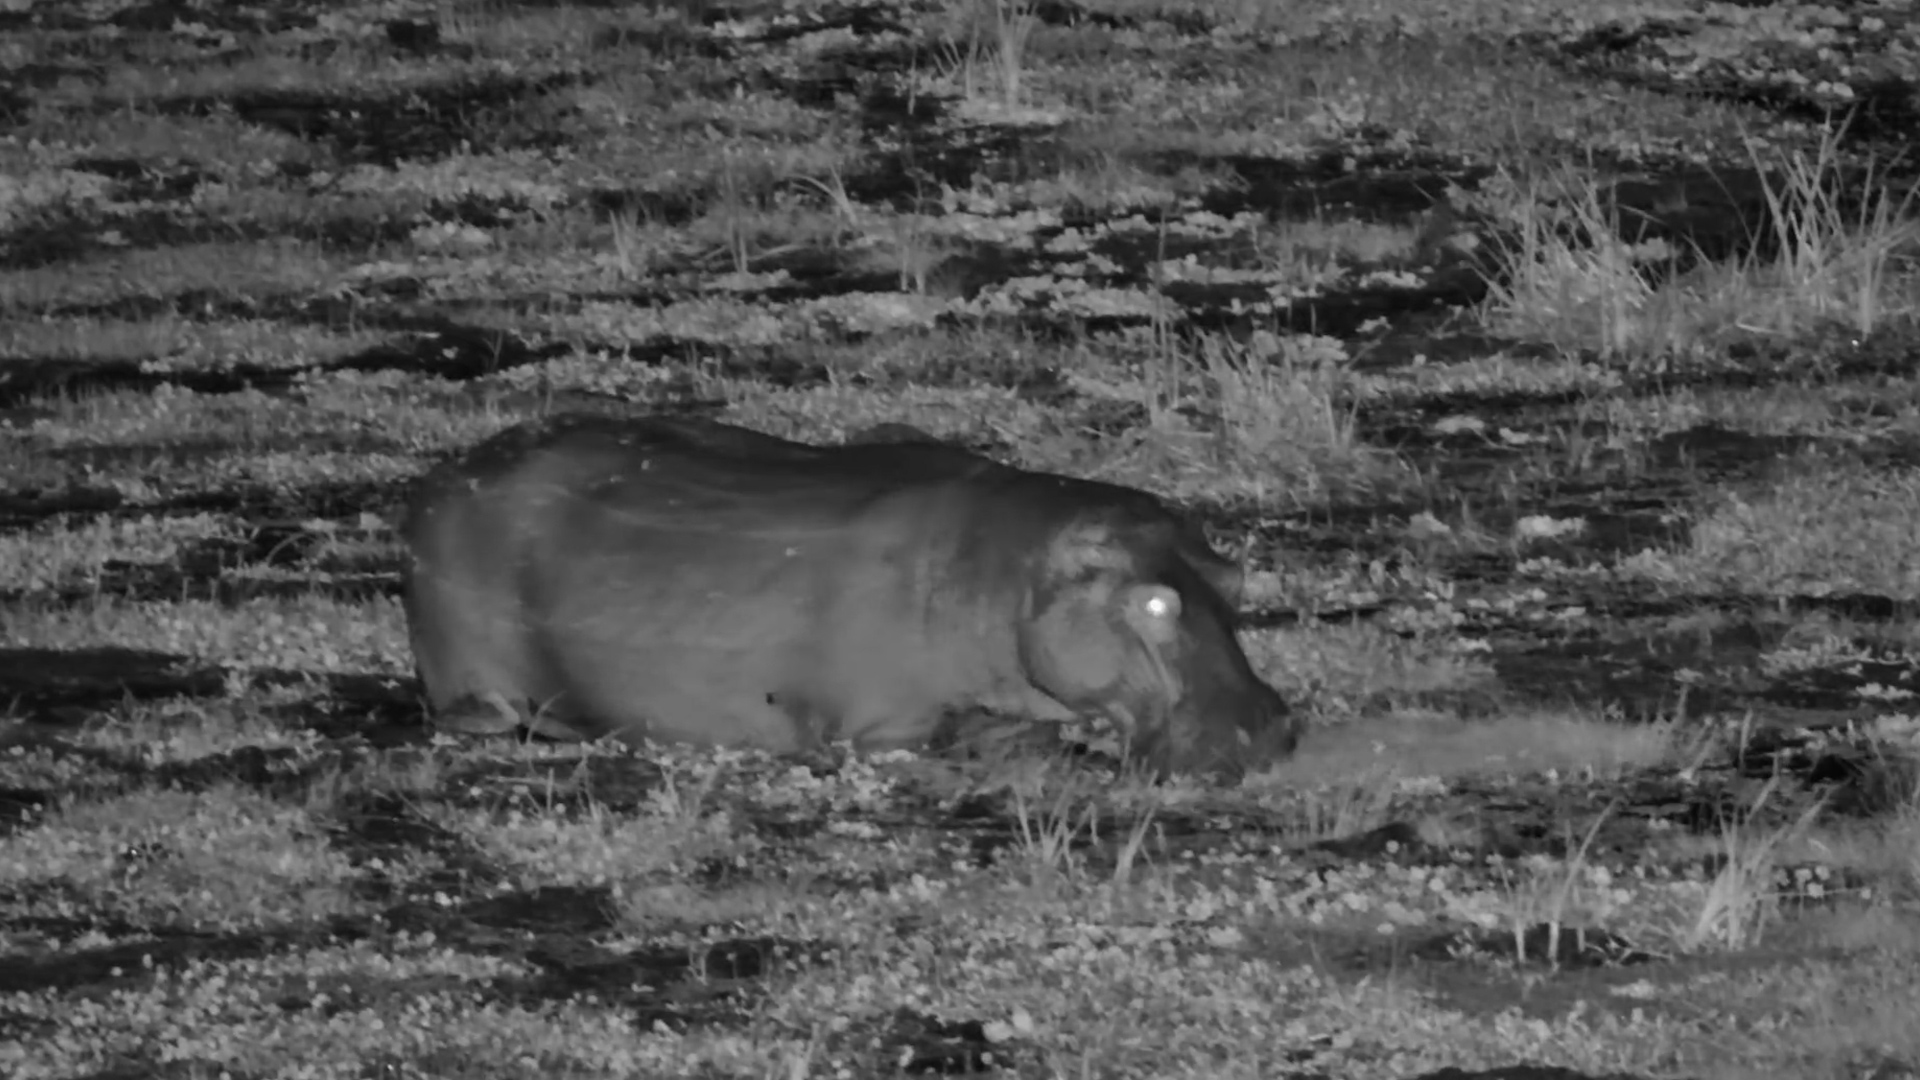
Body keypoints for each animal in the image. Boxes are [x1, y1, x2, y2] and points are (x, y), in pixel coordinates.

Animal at [400, 413, 1299, 779]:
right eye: (1154, 605)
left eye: (1235, 578)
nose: (1265, 728)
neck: (1013, 567)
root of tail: (442, 476)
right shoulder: (882, 727)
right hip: (472, 683)